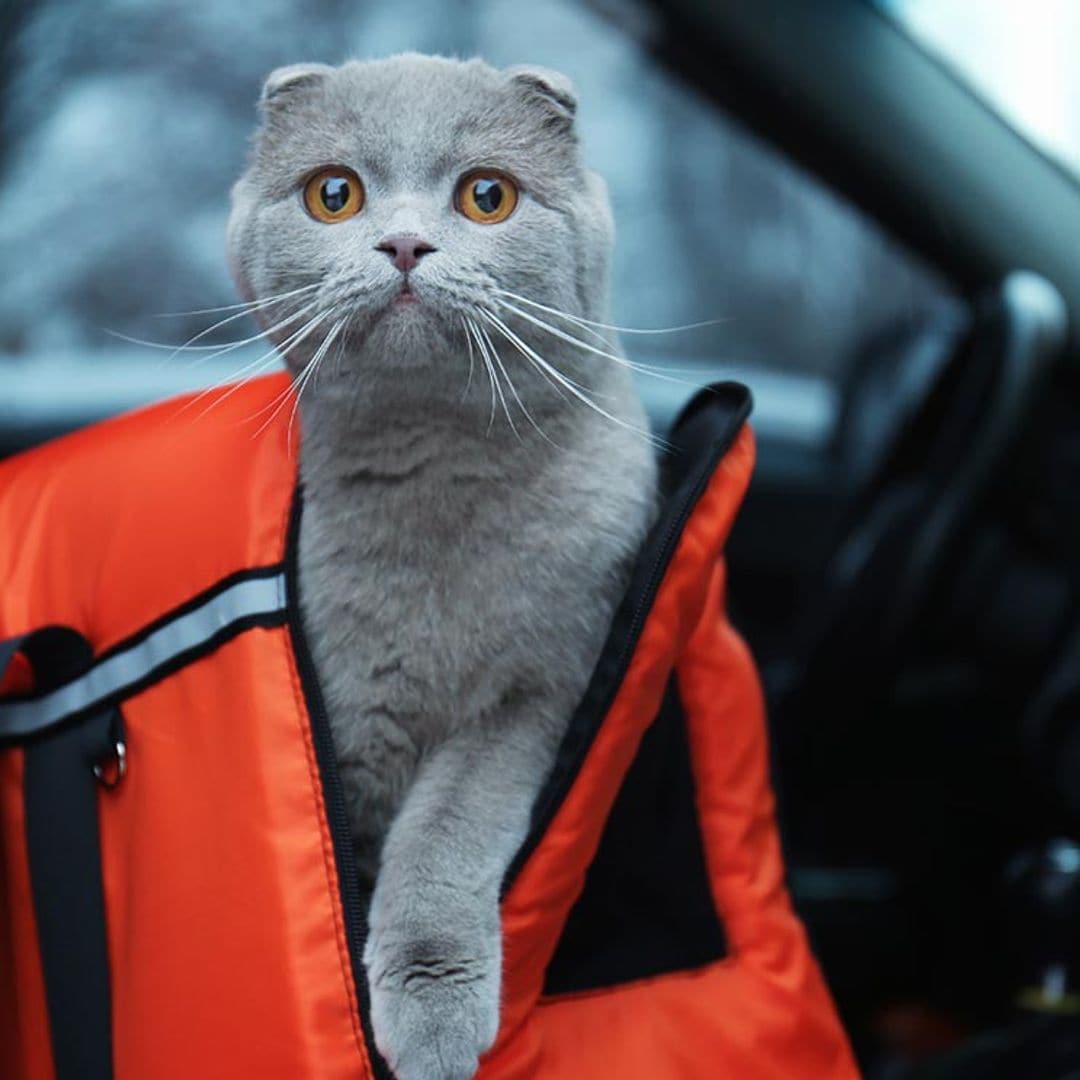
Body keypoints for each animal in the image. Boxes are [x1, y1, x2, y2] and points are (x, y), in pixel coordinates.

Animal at [225, 54, 656, 1080]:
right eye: (333, 194)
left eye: (487, 197)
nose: (406, 244)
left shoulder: (540, 690)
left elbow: (446, 829)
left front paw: (430, 1013)